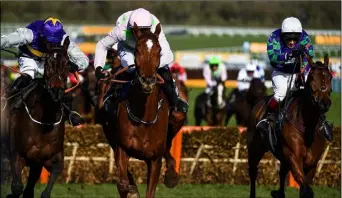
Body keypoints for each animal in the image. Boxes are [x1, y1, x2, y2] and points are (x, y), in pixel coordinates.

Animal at [4, 37, 73, 198]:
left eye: (67, 63)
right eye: (47, 62)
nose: (56, 92)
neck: (44, 122)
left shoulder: (48, 158)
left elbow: (43, 190)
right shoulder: (16, 154)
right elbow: (17, 187)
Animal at [99, 23, 186, 198]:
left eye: (159, 50)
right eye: (137, 50)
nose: (147, 81)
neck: (144, 117)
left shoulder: (154, 160)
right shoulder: (122, 149)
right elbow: (123, 183)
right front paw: (131, 190)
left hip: (177, 117)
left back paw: (172, 174)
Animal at [248, 54, 334, 198]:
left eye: (330, 77)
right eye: (312, 77)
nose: (324, 103)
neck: (307, 126)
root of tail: (258, 103)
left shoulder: (312, 163)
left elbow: (305, 188)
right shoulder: (294, 157)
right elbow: (305, 188)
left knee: (282, 173)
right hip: (255, 148)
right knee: (253, 172)